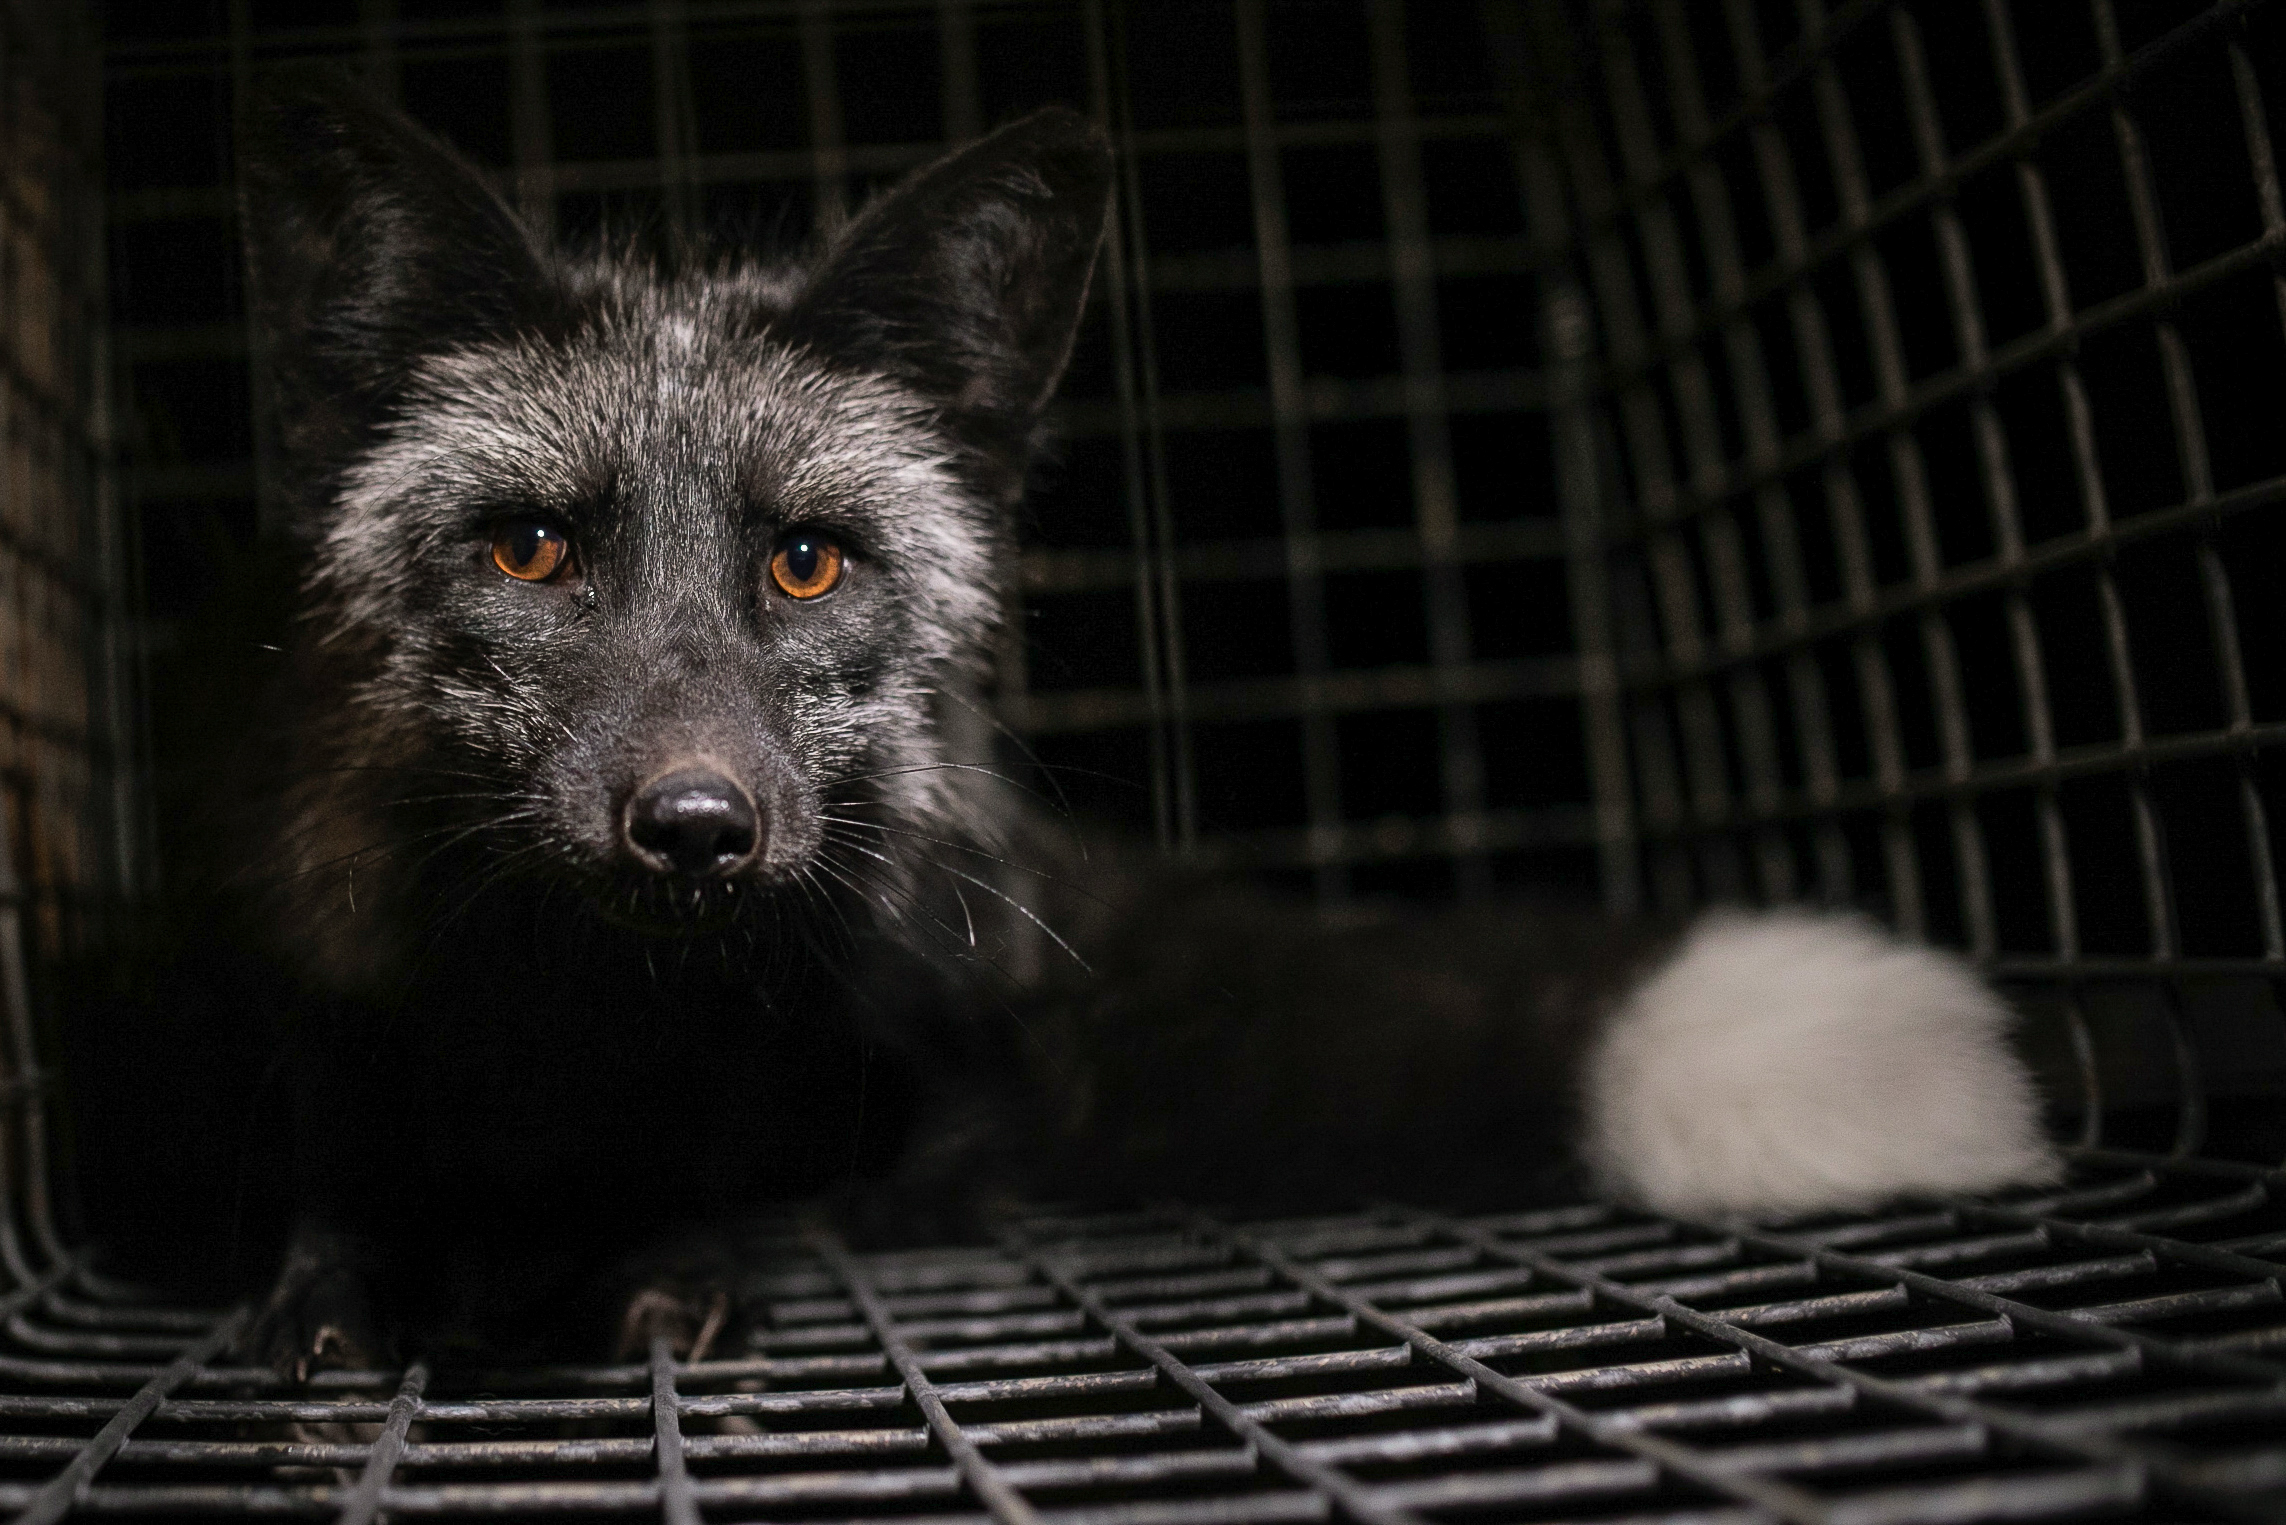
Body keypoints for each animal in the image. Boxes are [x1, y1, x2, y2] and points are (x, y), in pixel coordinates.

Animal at [148, 66, 2059, 1370]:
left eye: (806, 564)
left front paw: (669, 1264)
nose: (693, 827)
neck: (571, 1016)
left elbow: (714, 1166)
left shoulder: (798, 1015)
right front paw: (341, 1289)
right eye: (528, 549)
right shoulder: (292, 951)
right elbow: (339, 1156)